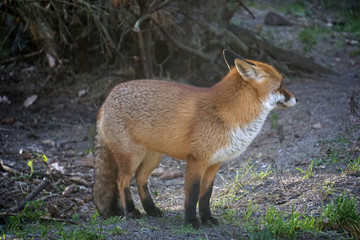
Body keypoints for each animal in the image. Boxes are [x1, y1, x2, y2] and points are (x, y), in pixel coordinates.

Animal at [92, 49, 296, 229]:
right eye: (280, 85)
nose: (296, 99)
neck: (231, 115)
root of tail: (107, 98)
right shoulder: (197, 160)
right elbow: (192, 195)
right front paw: (191, 222)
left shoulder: (215, 163)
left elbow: (205, 195)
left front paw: (207, 219)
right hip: (132, 157)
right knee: (122, 181)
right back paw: (131, 211)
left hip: (153, 158)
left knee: (140, 178)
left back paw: (151, 209)